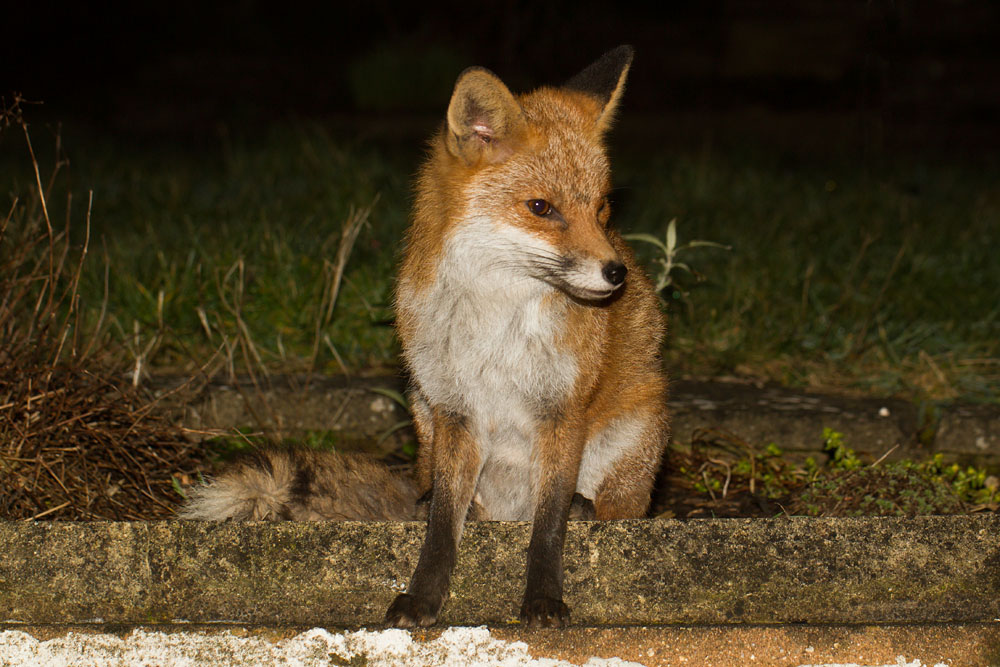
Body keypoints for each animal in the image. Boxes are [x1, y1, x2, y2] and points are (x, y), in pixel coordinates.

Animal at [386, 44, 668, 628]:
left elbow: (549, 524)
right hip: (421, 406)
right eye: (541, 207)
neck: (498, 323)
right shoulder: (455, 409)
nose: (616, 274)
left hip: (639, 426)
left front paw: (543, 599)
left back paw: (591, 508)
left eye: (602, 208)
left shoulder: (562, 410)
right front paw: (424, 596)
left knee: (615, 508)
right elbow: (442, 526)